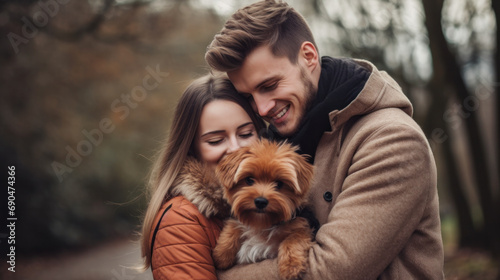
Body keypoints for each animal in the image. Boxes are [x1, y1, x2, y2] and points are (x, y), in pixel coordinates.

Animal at [213, 140, 314, 280]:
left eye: (279, 184)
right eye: (249, 180)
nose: (260, 201)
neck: (262, 223)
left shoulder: (302, 224)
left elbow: (294, 238)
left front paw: (291, 266)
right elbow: (232, 227)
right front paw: (222, 255)